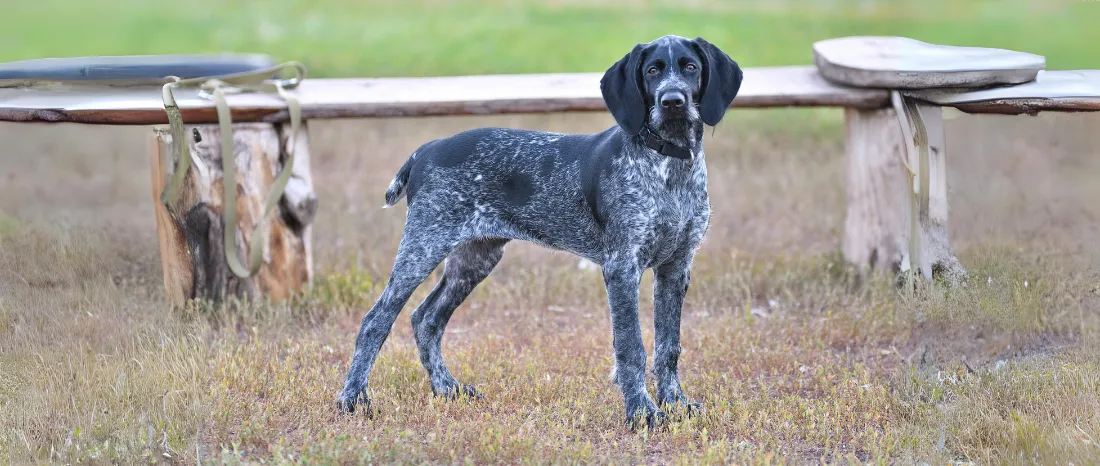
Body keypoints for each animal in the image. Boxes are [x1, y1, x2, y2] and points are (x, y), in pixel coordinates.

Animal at [338, 35, 743, 428]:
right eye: (652, 71)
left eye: (690, 68)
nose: (673, 101)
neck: (669, 166)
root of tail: (425, 150)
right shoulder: (622, 267)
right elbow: (632, 347)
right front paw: (641, 412)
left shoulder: (676, 267)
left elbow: (668, 346)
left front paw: (675, 403)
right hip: (423, 246)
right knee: (376, 321)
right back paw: (353, 399)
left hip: (475, 258)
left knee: (427, 319)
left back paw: (447, 388)